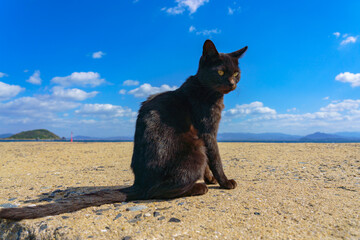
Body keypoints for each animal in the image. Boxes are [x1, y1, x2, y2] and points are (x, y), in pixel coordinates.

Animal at [0, 39, 248, 219]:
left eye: (237, 74)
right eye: (220, 73)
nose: (232, 83)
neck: (209, 92)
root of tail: (139, 183)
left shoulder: (205, 134)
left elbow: (210, 162)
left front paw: (210, 179)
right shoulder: (207, 131)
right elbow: (215, 157)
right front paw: (224, 182)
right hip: (194, 148)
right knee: (154, 192)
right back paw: (197, 188)